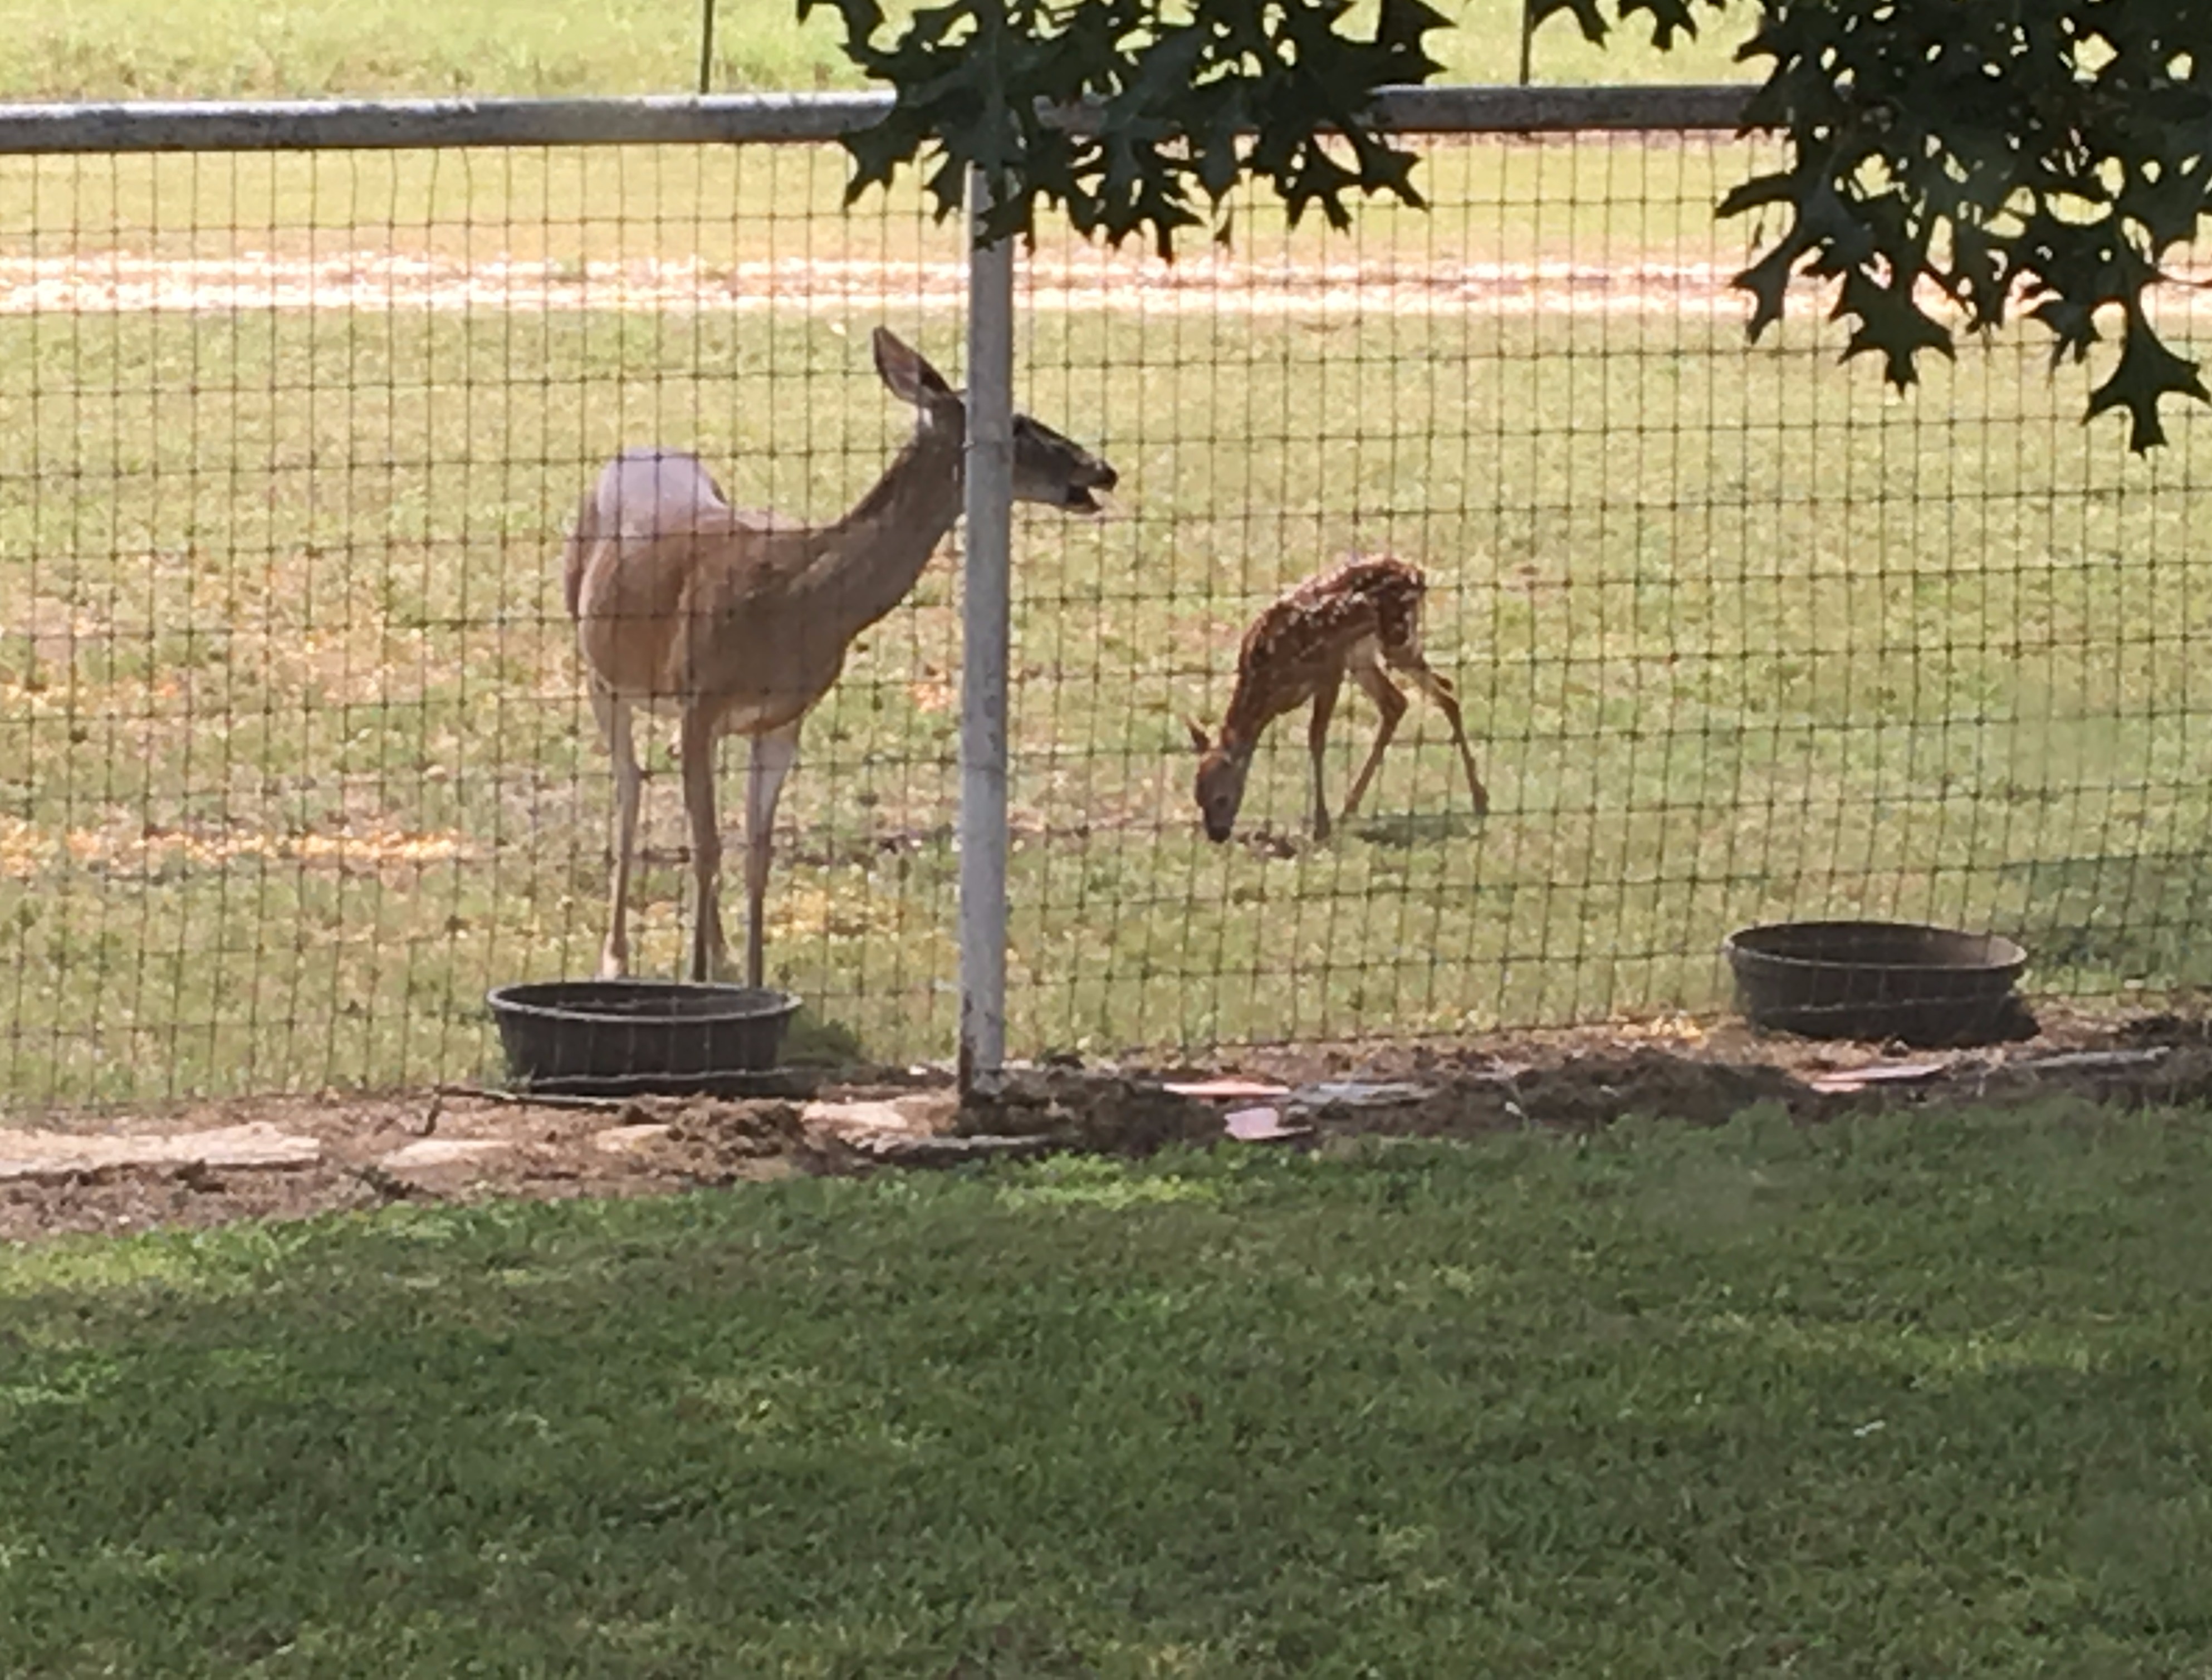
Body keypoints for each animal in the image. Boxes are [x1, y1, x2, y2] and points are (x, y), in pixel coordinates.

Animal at [563, 327, 1118, 989]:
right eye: (1015, 423)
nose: (1103, 470)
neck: (797, 600)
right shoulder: (699, 695)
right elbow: (707, 849)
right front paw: (695, 982)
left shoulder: (783, 719)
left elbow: (756, 853)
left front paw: (749, 981)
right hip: (599, 666)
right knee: (629, 783)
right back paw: (615, 956)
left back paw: (717, 954)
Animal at [1185, 556, 1489, 845]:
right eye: (1198, 797)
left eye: (1221, 798)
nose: (1217, 834)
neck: (1267, 685)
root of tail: (1417, 574)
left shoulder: (1329, 670)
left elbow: (1316, 739)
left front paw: (1320, 826)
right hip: (1363, 656)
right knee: (1414, 700)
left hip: (1395, 638)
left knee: (1435, 695)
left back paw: (1479, 799)